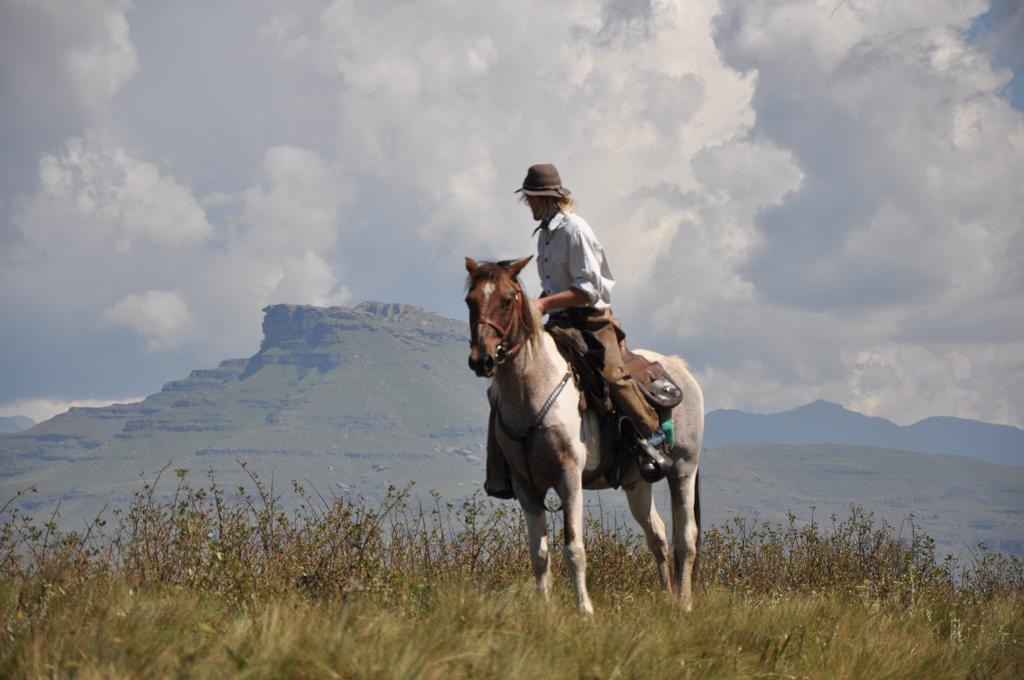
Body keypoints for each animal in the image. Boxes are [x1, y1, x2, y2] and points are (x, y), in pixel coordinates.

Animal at [464, 253, 704, 610]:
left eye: (507, 301)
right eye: (470, 300)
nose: (482, 360)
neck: (533, 390)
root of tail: (679, 369)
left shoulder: (569, 477)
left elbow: (573, 548)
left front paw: (585, 609)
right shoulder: (525, 485)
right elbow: (539, 553)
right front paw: (545, 609)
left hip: (684, 469)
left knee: (686, 538)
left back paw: (684, 605)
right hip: (636, 482)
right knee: (658, 535)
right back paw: (666, 598)